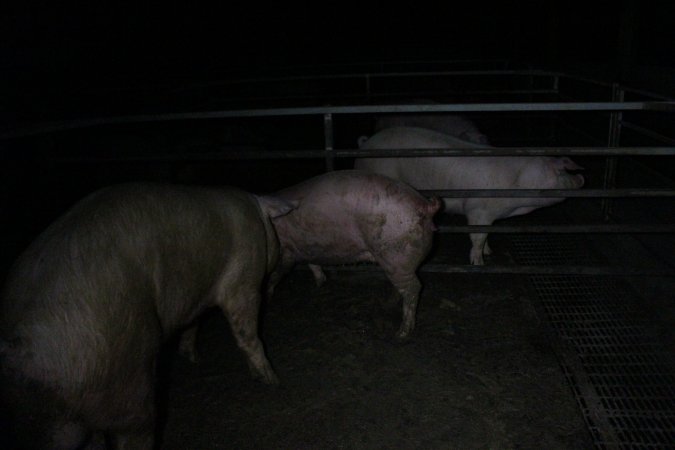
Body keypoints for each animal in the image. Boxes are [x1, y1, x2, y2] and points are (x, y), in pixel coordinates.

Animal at [0, 183, 296, 450]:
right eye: (276, 232)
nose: (282, 258)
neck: (256, 214)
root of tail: (17, 352)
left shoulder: (194, 297)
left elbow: (192, 325)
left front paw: (192, 359)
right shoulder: (243, 278)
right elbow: (247, 331)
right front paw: (272, 381)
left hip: (57, 421)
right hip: (123, 370)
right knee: (135, 426)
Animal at [266, 171, 440, 340]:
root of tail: (426, 206)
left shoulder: (286, 251)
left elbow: (277, 273)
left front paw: (268, 294)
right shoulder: (305, 248)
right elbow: (312, 264)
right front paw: (320, 283)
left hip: (395, 254)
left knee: (413, 288)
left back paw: (401, 333)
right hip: (398, 261)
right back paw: (388, 303)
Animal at [356, 126, 584, 266]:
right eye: (563, 171)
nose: (582, 177)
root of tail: (365, 145)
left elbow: (487, 234)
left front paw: (489, 252)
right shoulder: (478, 210)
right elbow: (477, 236)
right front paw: (479, 263)